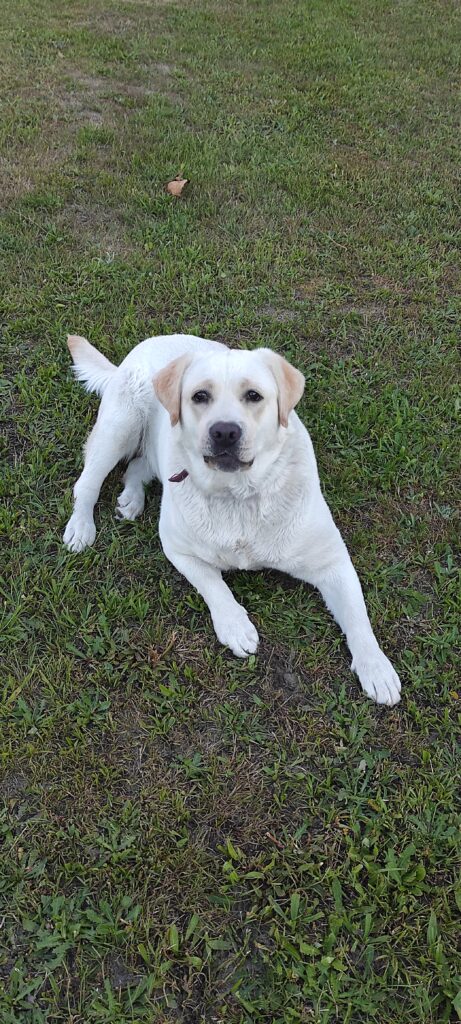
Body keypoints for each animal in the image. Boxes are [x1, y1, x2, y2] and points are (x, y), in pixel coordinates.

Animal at [63, 332, 401, 706]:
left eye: (253, 395)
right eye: (200, 396)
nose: (225, 432)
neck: (238, 496)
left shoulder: (333, 562)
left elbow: (358, 617)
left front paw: (376, 668)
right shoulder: (178, 549)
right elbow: (214, 585)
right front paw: (235, 625)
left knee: (137, 466)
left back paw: (132, 498)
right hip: (119, 427)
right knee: (87, 483)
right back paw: (80, 527)